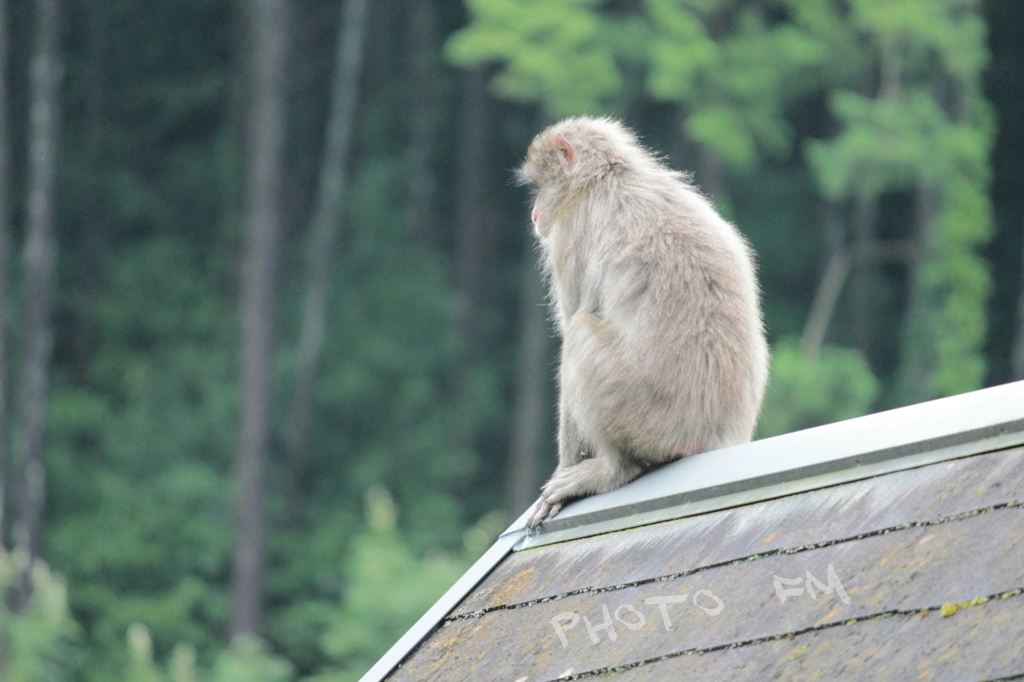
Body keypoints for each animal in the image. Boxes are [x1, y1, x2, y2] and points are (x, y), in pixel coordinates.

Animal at [520, 116, 770, 528]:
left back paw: (613, 470)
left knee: (580, 334)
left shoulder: (571, 232)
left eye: (539, 187)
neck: (606, 175)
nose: (534, 215)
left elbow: (574, 317)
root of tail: (710, 437)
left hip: (642, 418)